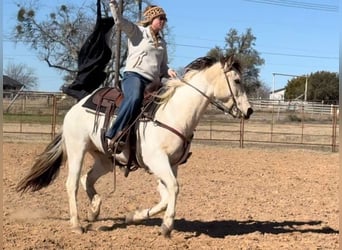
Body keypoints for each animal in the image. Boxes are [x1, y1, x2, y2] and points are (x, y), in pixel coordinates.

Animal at [17, 54, 254, 236]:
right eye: (237, 80)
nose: (249, 110)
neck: (173, 113)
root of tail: (77, 106)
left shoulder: (171, 164)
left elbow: (166, 196)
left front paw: (134, 216)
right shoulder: (158, 161)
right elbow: (173, 189)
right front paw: (167, 226)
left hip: (105, 159)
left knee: (87, 179)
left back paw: (94, 210)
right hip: (77, 149)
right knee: (72, 183)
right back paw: (76, 225)